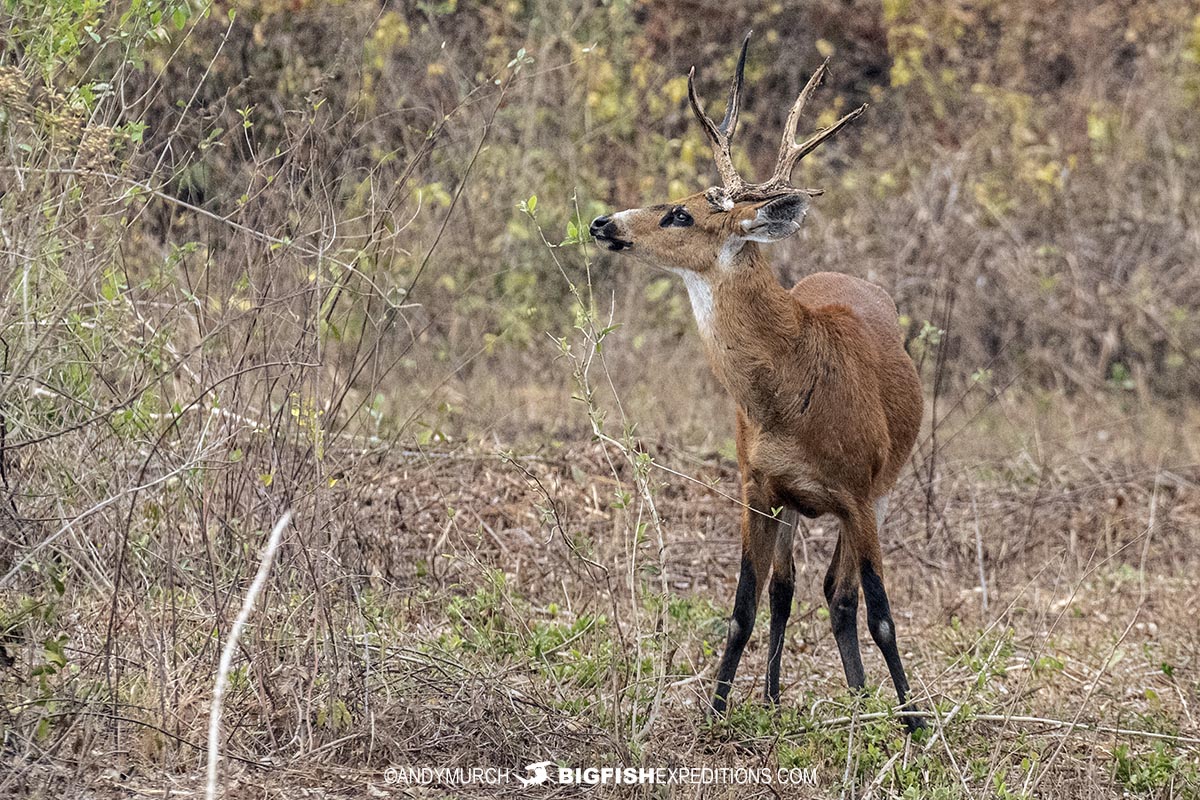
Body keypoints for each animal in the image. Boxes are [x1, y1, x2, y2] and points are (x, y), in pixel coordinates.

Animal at [589, 34, 926, 732]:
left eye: (680, 214)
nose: (603, 222)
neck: (794, 391)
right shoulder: (755, 486)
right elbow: (743, 607)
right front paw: (717, 713)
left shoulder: (860, 492)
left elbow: (882, 613)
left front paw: (915, 724)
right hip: (794, 503)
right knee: (792, 589)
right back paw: (785, 697)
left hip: (880, 489)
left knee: (840, 594)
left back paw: (862, 701)